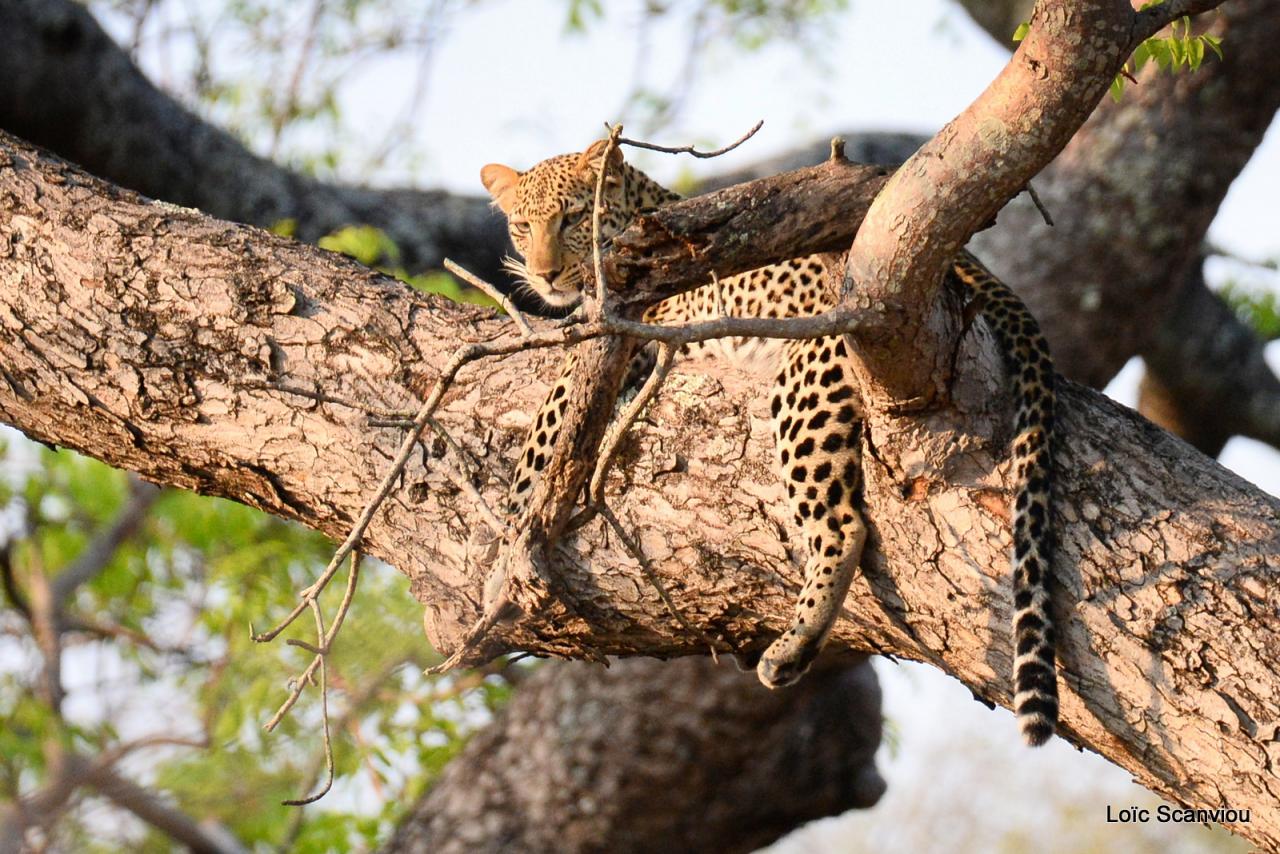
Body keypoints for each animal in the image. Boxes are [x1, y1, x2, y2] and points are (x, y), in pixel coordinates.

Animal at [481, 136, 1059, 742]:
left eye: (572, 217)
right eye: (521, 226)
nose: (545, 275)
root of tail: (969, 267)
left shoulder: (611, 345)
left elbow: (539, 443)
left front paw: (504, 558)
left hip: (806, 375)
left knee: (842, 525)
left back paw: (791, 647)